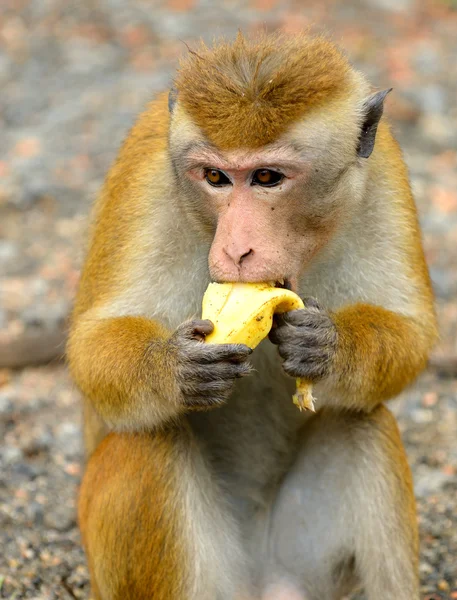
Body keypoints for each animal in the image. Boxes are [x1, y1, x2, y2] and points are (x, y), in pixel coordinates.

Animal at [67, 32, 434, 600]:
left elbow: (411, 331)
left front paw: (327, 348)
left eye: (266, 177)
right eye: (215, 177)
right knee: (147, 447)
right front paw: (174, 367)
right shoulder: (145, 180)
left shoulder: (383, 174)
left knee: (363, 426)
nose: (237, 248)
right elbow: (91, 346)